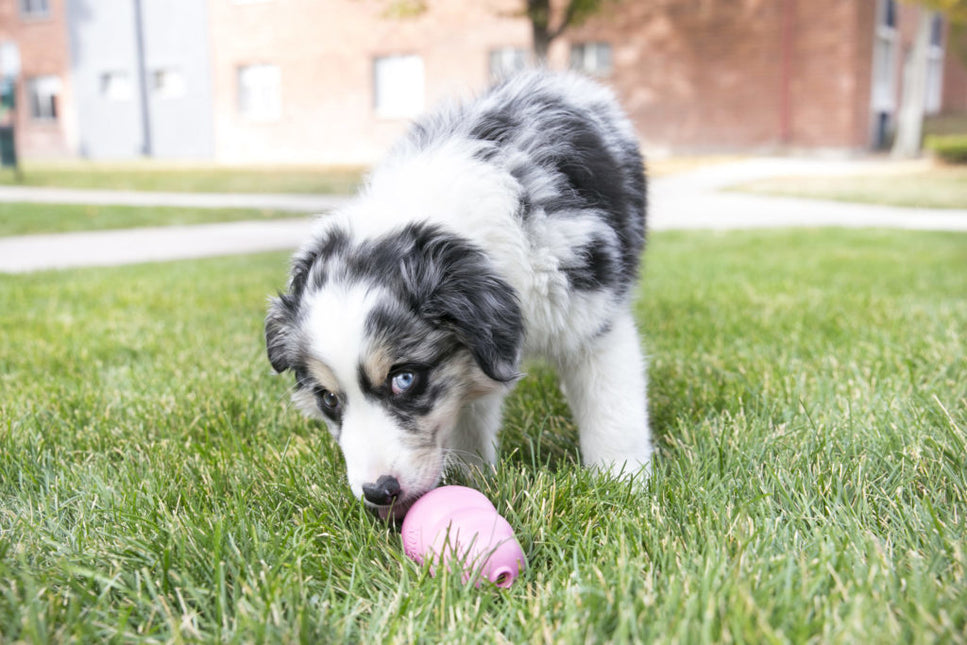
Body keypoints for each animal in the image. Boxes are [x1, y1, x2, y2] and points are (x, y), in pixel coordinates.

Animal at [266, 70, 652, 516]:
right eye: (328, 399)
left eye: (404, 379)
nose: (378, 492)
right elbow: (466, 411)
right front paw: (473, 477)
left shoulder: (594, 319)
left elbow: (612, 407)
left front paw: (623, 486)